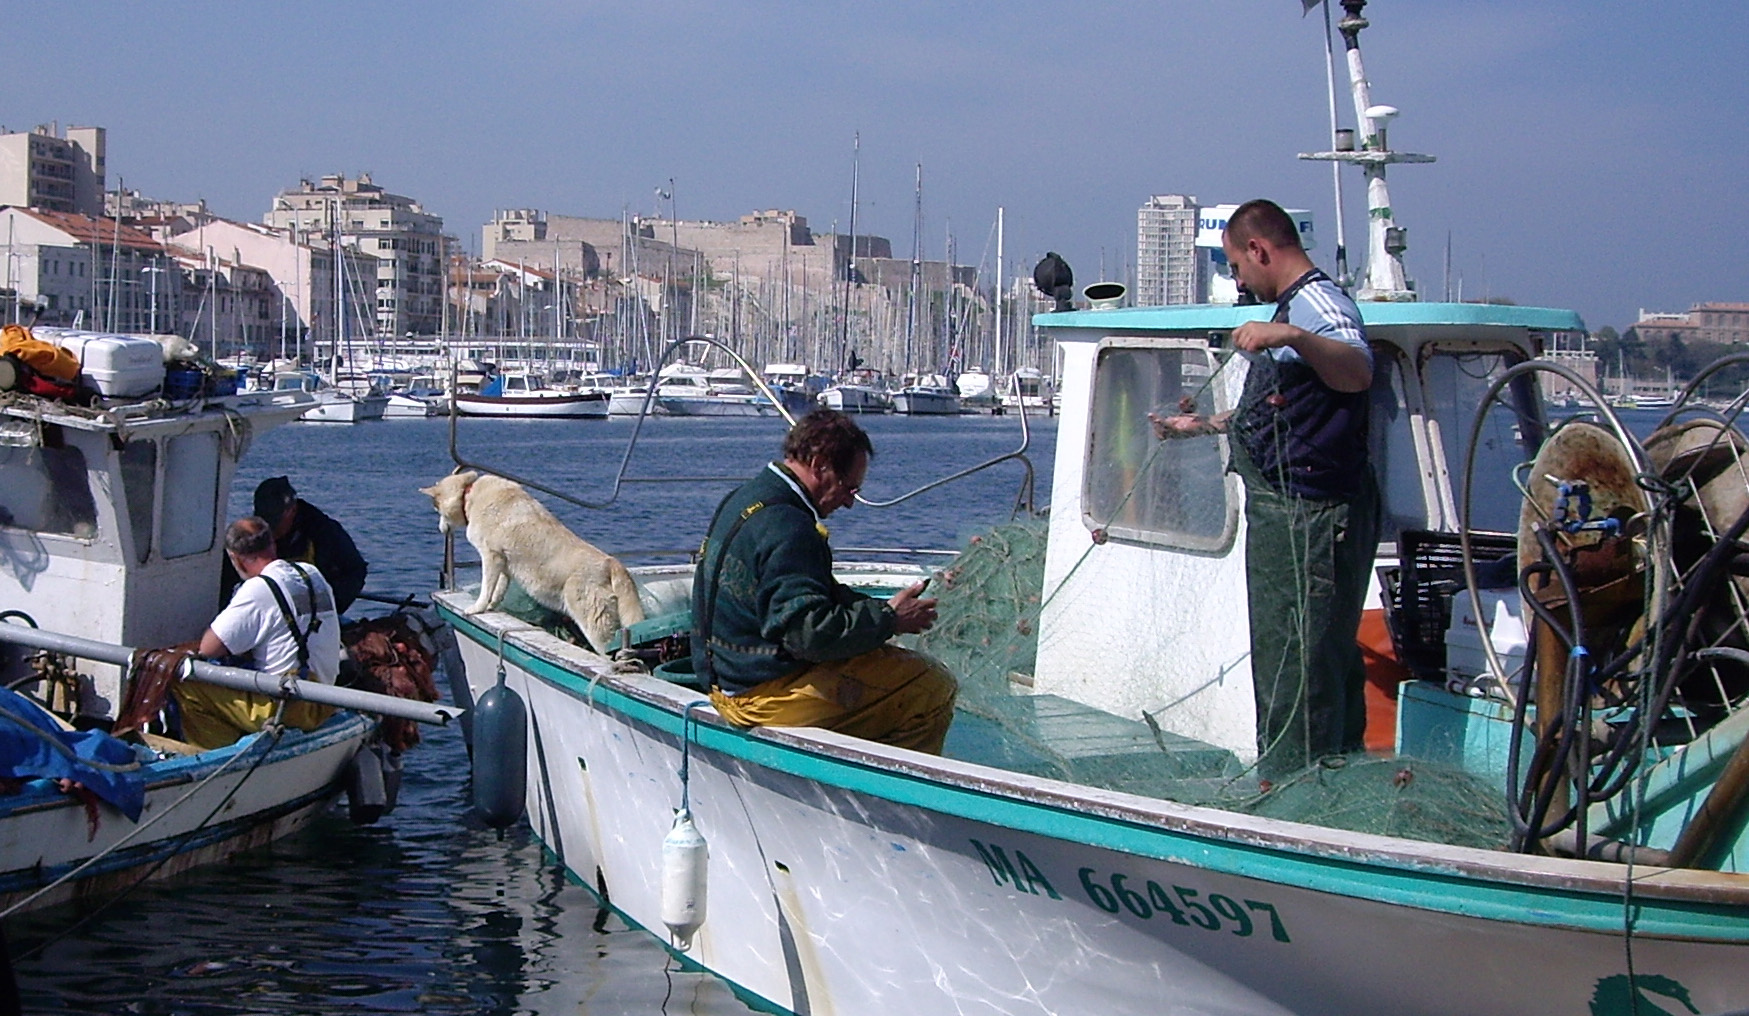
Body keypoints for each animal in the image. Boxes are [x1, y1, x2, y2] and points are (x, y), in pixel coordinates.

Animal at [420, 471, 646, 655]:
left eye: (435, 508)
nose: (440, 529)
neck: (469, 493)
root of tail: (611, 562)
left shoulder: (491, 557)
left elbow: (486, 587)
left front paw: (478, 607)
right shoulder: (504, 564)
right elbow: (499, 588)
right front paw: (492, 605)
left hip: (593, 623)